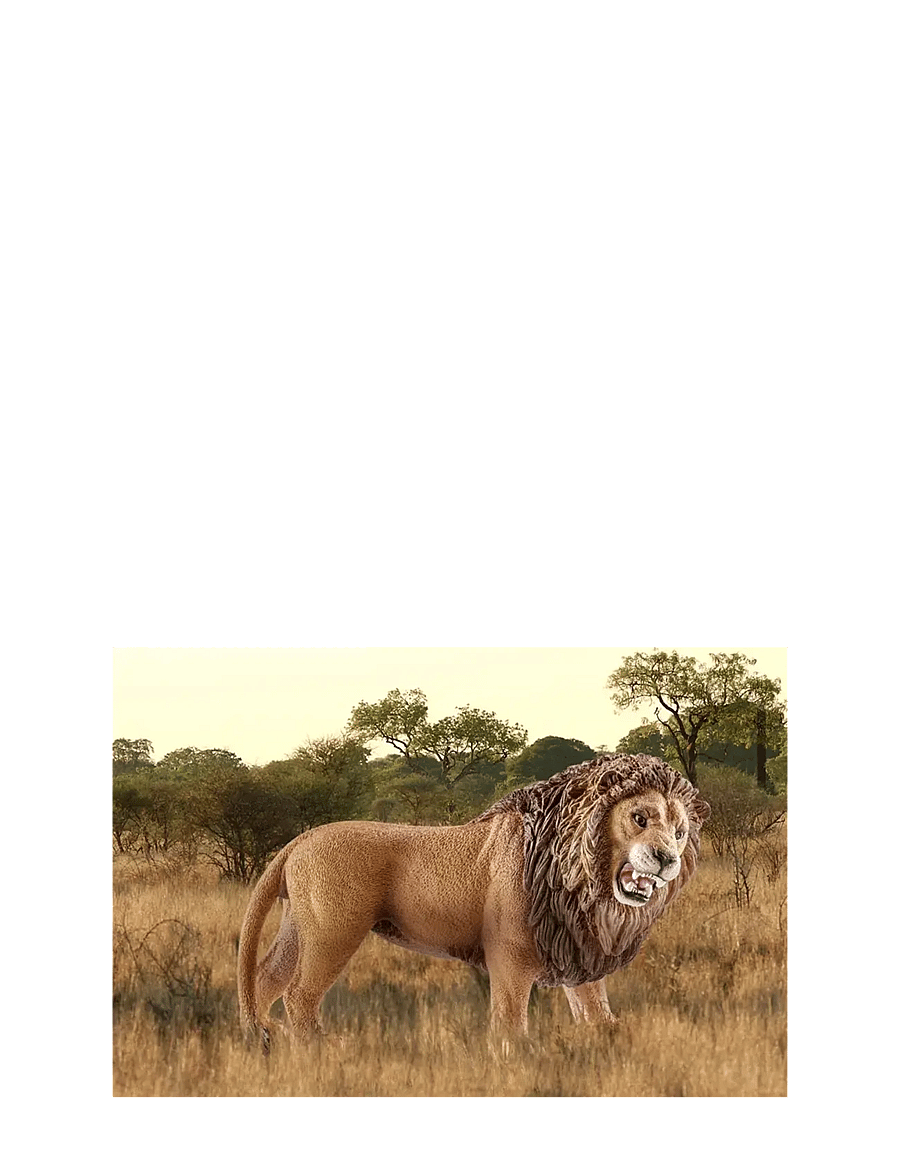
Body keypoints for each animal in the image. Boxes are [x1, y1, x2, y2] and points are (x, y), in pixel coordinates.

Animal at [237, 753, 710, 1046]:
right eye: (640, 818)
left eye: (680, 831)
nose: (668, 859)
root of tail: (300, 839)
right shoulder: (510, 955)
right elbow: (510, 1018)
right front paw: (515, 1056)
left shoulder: (576, 946)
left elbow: (593, 1004)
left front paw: (608, 1035)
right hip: (334, 932)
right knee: (298, 993)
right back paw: (319, 1046)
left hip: (299, 926)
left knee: (266, 978)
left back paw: (265, 1039)